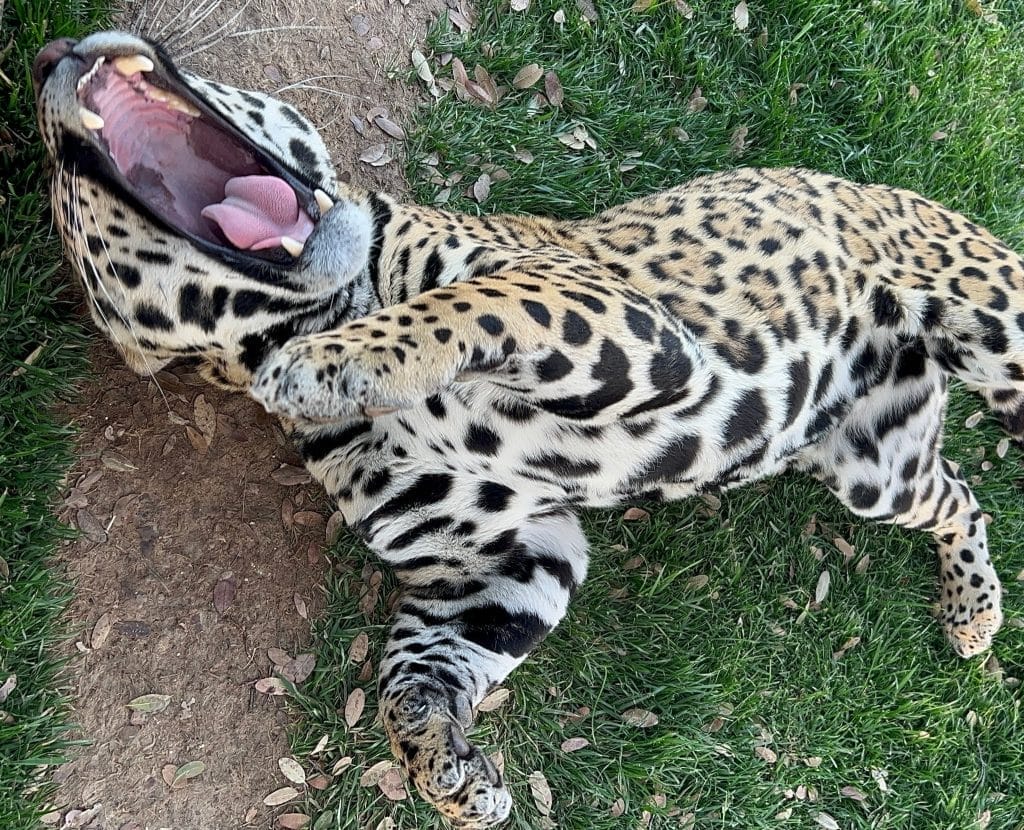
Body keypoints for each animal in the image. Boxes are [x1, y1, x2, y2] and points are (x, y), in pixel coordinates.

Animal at [34, 30, 1022, 828]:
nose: (48, 53)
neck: (319, 303)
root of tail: (875, 185)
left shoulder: (614, 313)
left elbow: (471, 301)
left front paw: (328, 365)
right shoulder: (504, 558)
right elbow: (408, 684)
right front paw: (450, 779)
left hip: (994, 323)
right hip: (873, 466)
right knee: (960, 497)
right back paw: (974, 614)